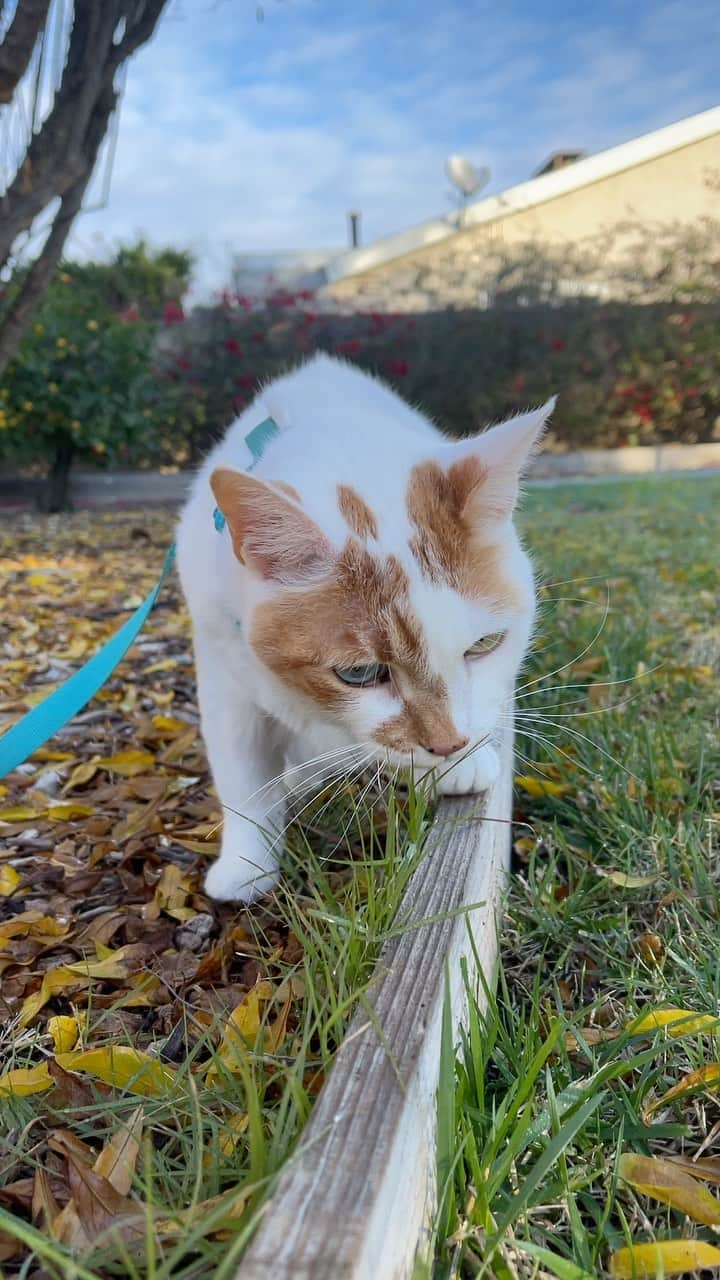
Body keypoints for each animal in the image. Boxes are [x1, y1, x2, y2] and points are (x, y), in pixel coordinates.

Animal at [176, 355, 550, 906]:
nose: (449, 743)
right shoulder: (223, 668)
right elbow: (241, 770)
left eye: (485, 645)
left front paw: (461, 765)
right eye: (359, 674)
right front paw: (246, 863)